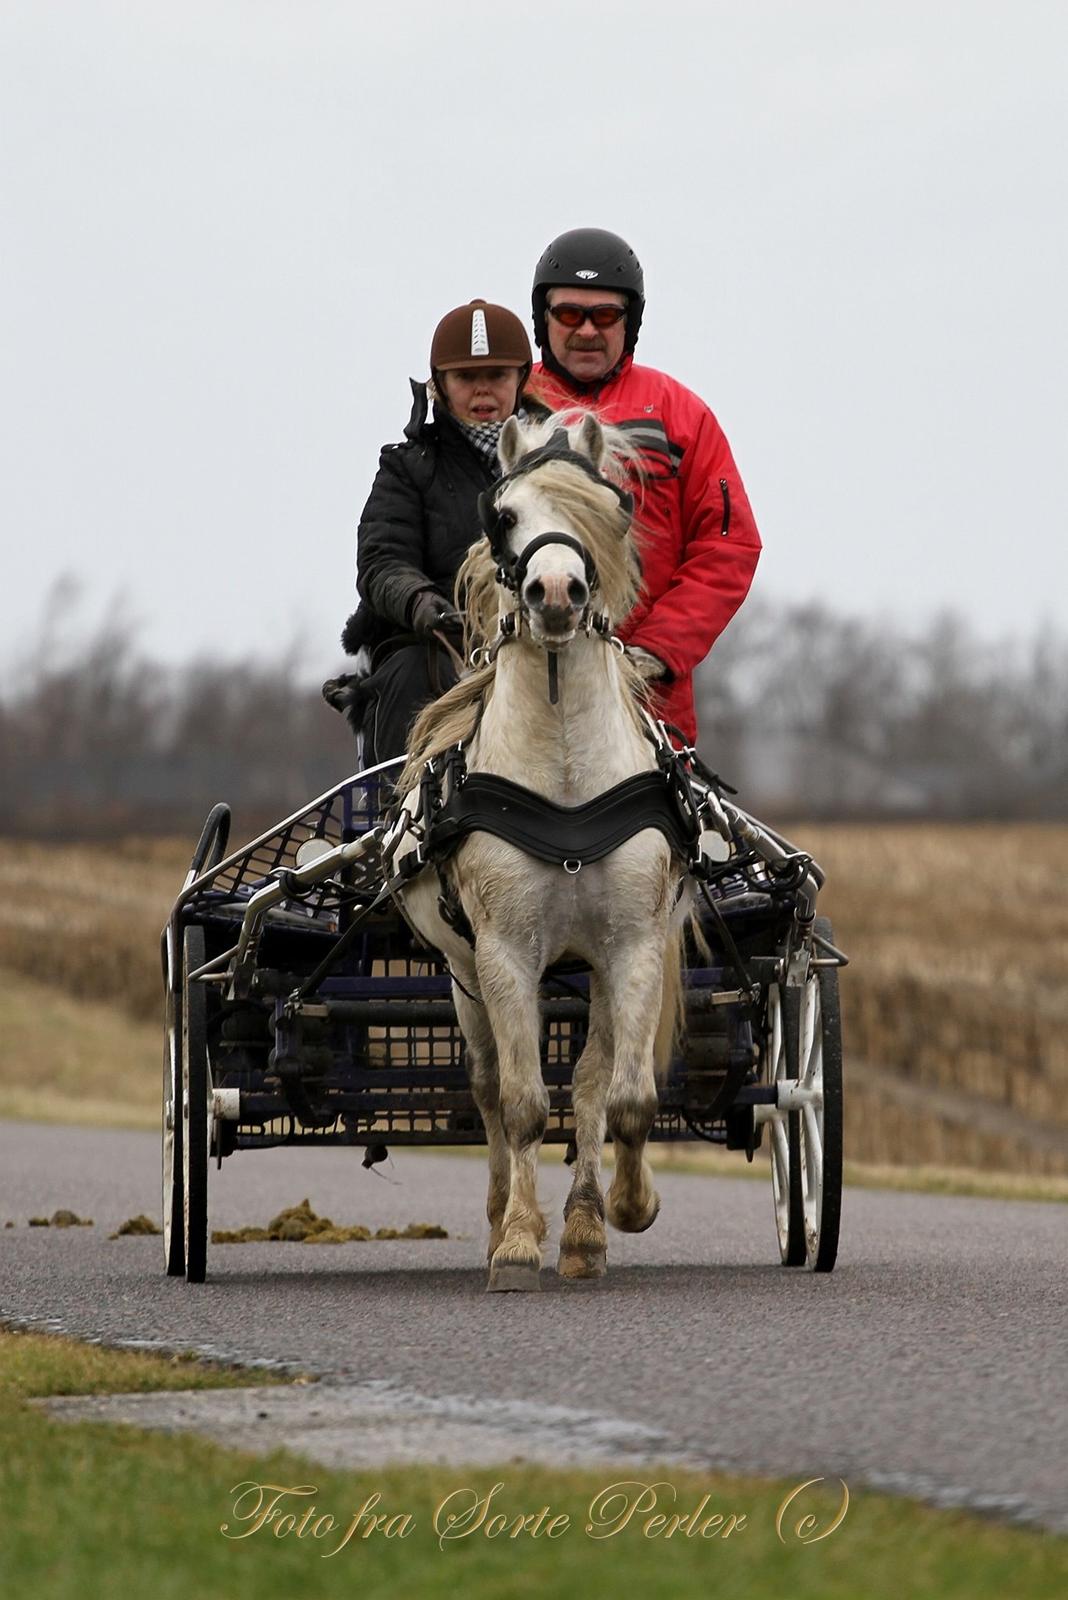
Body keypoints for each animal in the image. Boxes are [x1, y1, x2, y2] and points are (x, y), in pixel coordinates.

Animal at [396, 409, 687, 1286]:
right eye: (504, 515)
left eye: (612, 509)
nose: (556, 591)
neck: (564, 780)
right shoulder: (504, 952)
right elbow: (525, 1106)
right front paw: (521, 1240)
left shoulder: (632, 945)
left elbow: (622, 1098)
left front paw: (619, 1211)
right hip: (462, 974)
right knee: (491, 1088)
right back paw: (502, 1218)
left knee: (590, 1081)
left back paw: (586, 1224)